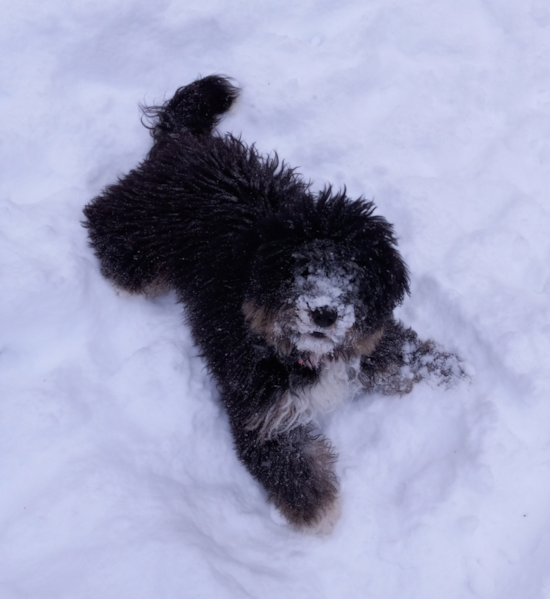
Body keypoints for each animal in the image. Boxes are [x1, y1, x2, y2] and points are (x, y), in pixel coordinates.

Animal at [83, 76, 466, 536]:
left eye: (352, 275)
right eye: (301, 269)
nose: (324, 312)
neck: (303, 354)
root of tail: (184, 143)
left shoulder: (364, 343)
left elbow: (398, 352)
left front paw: (450, 371)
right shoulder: (260, 411)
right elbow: (288, 461)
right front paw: (320, 513)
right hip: (141, 238)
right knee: (103, 223)